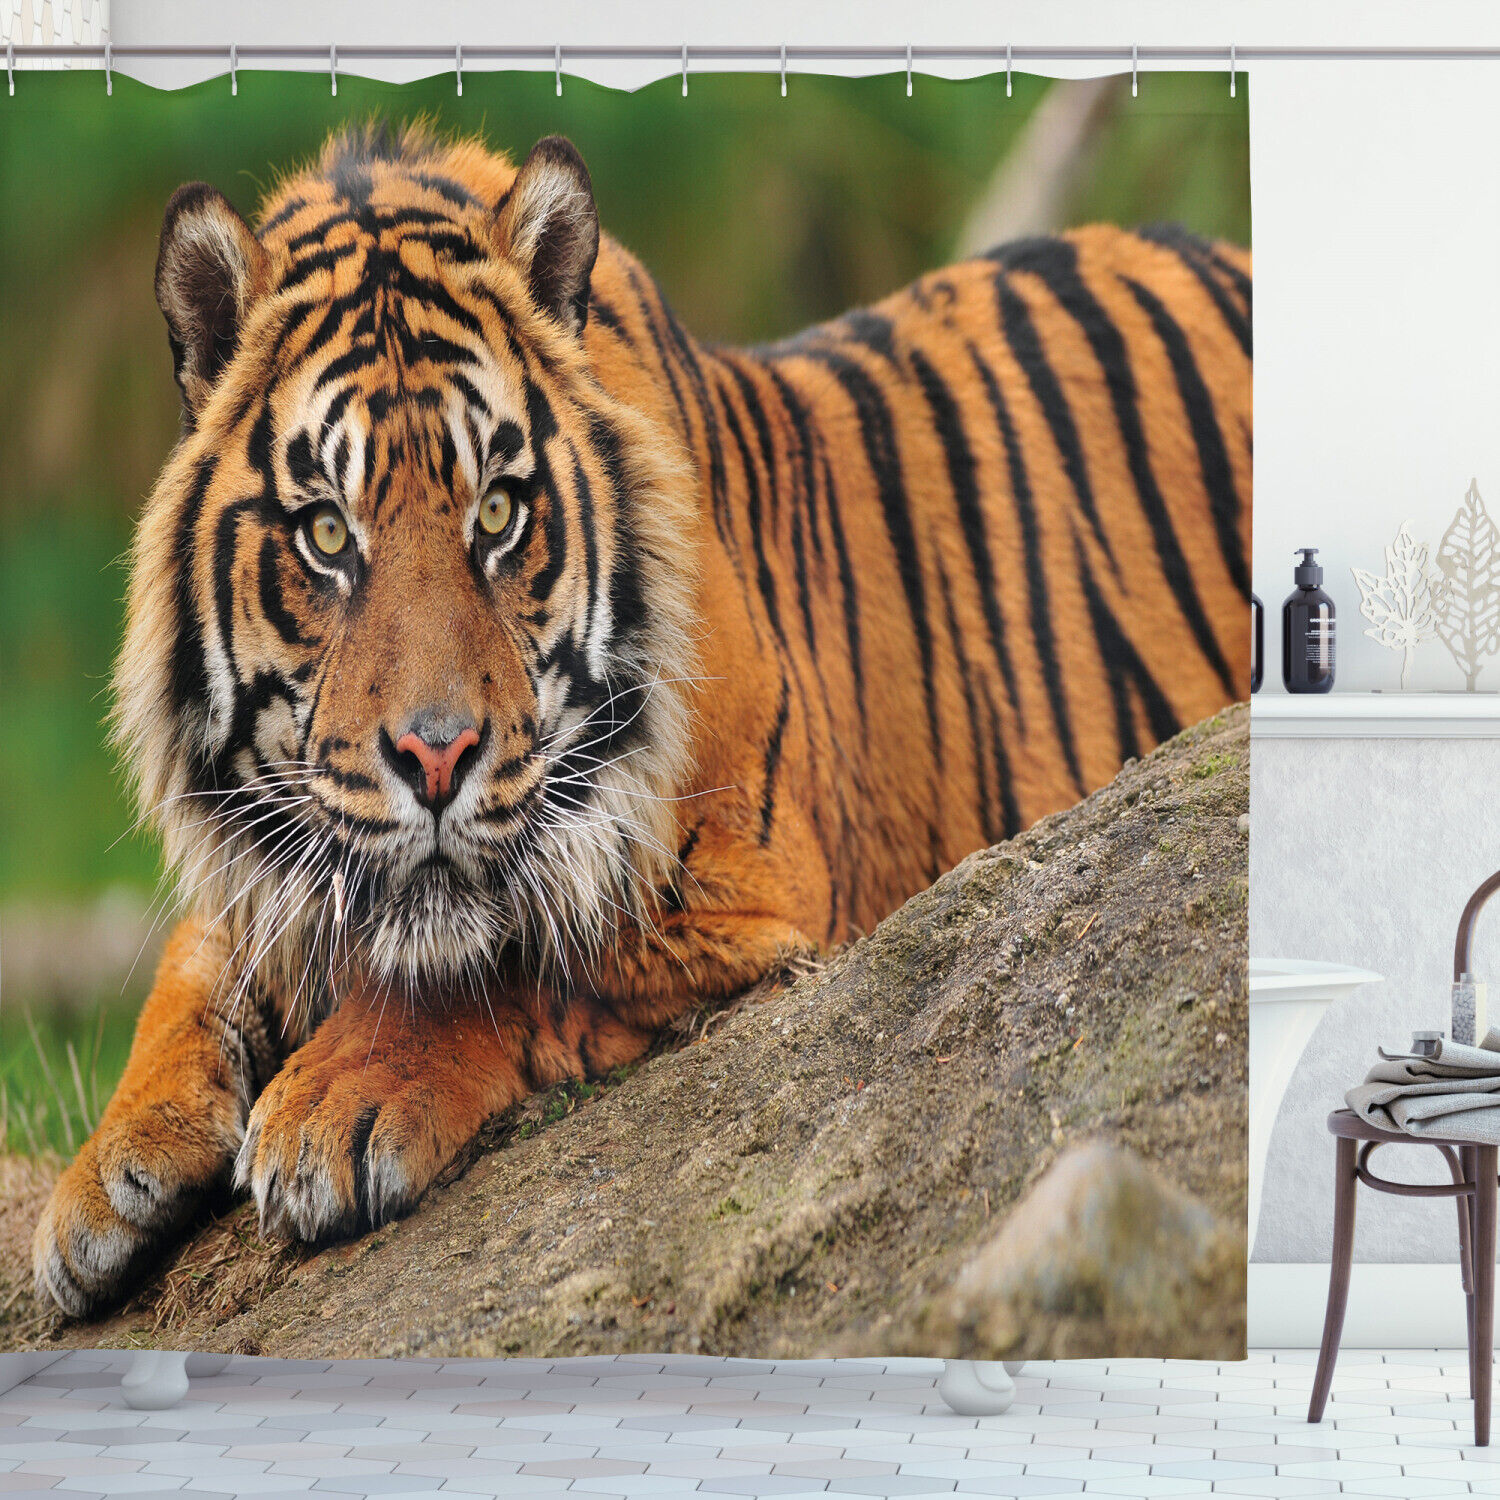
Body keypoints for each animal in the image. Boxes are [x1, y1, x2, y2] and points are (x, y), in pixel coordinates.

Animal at [33, 122, 1251, 1317]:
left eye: (498, 512)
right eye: (327, 533)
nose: (438, 755)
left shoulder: (741, 892)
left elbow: (508, 960)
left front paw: (331, 1105)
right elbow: (202, 955)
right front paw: (102, 1181)